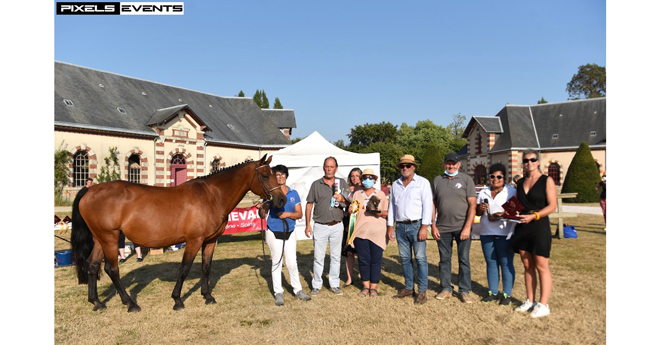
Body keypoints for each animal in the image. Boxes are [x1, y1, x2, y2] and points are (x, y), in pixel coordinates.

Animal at [71, 155, 284, 310]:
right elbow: (185, 268)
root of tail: (90, 191)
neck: (212, 195)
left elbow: (206, 267)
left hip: (100, 238)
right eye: (265, 176)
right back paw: (130, 304)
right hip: (110, 238)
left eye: (275, 174)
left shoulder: (210, 240)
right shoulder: (194, 240)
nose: (281, 200)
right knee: (112, 269)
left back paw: (97, 302)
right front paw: (177, 300)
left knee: (92, 266)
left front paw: (207, 296)